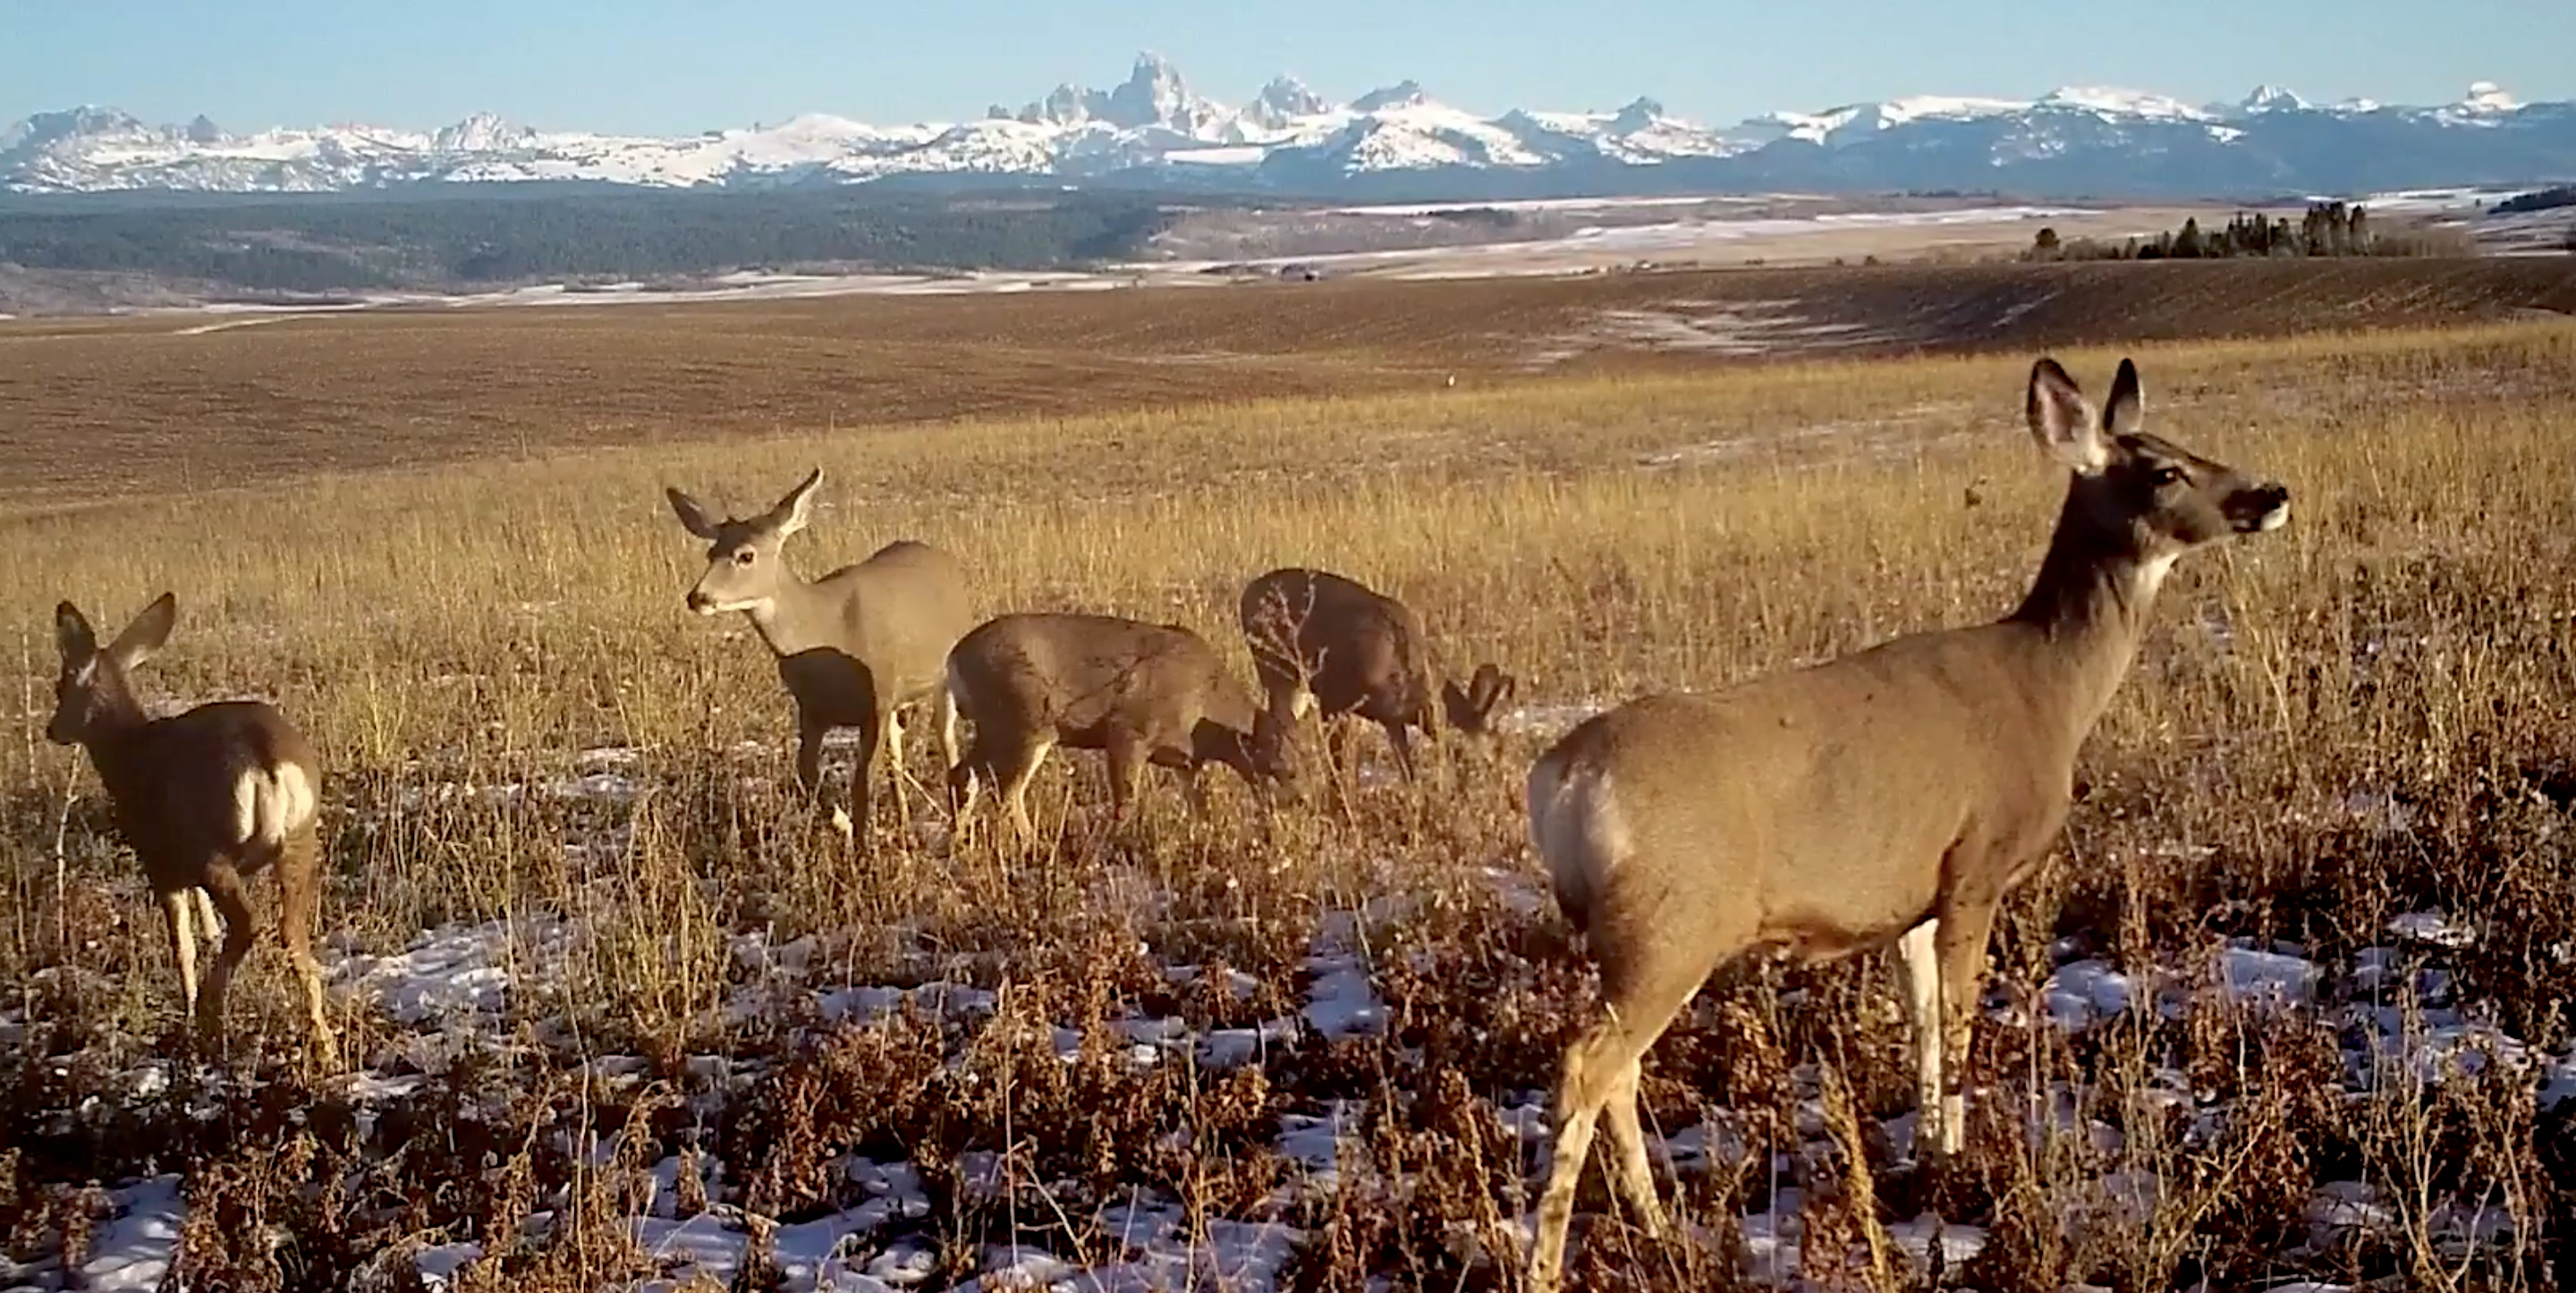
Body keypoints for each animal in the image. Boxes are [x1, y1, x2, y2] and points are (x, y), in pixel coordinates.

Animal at [45, 589, 340, 1066]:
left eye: (62, 686)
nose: (53, 729)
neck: (127, 754)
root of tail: (267, 759)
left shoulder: (159, 861)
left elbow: (181, 943)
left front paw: (186, 1006)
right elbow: (207, 927)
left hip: (214, 848)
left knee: (250, 924)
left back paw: (207, 1022)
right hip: (299, 841)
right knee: (291, 934)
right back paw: (324, 1043)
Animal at [665, 463, 973, 840]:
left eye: (746, 555)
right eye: (710, 553)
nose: (697, 598)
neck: (826, 628)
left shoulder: (878, 699)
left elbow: (861, 783)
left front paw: (860, 841)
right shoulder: (813, 709)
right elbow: (806, 773)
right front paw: (843, 823)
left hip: (945, 677)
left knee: (948, 743)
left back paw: (959, 827)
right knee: (897, 753)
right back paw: (905, 826)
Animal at [943, 610, 1298, 844]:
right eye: (1286, 769)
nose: (1299, 802)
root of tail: (953, 660)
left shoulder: (1187, 762)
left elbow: (1200, 806)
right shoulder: (1127, 732)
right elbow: (1125, 802)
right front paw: (1118, 843)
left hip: (994, 727)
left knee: (963, 774)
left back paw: (959, 839)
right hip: (1027, 723)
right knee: (1007, 790)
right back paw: (1032, 843)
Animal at [1236, 569, 1514, 788]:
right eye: (1492, 753)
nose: (1509, 797)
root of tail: (1246, 594)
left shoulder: (1392, 720)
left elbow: (1408, 773)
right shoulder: (1334, 700)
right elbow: (1339, 768)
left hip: (1297, 685)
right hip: (1275, 670)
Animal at [1514, 355, 2287, 1293]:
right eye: (2165, 470)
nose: (2272, 493)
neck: (2048, 690)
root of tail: (1558, 781)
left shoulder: (1913, 897)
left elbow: (1921, 1018)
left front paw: (1927, 1150)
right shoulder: (1978, 864)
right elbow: (1958, 1022)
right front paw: (1956, 1163)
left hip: (1632, 933)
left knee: (1617, 1071)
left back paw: (1659, 1228)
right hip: (1671, 921)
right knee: (1586, 1064)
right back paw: (1547, 1264)